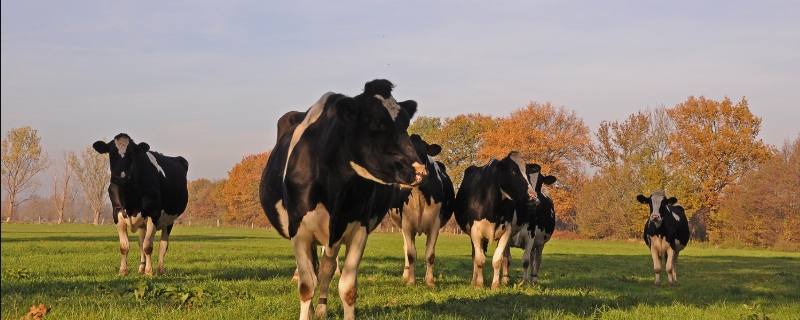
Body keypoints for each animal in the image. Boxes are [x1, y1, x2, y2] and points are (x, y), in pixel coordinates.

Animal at [92, 134, 189, 276]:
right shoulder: (117, 214)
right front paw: (123, 271)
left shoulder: (153, 214)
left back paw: (160, 270)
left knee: (162, 246)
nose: (120, 177)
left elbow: (148, 246)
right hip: (143, 223)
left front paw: (149, 271)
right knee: (141, 242)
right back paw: (141, 268)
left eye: (131, 154)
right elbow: (125, 246)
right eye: (111, 153)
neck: (129, 200)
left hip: (169, 220)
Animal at [260, 78, 428, 320]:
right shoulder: (299, 230)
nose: (420, 172)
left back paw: (321, 308)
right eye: (378, 122)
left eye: (405, 123)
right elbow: (306, 286)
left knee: (326, 269)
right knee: (313, 270)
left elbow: (347, 288)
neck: (335, 188)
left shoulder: (359, 228)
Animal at [390, 134, 456, 286]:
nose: (417, 174)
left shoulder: (435, 225)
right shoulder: (407, 225)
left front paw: (430, 281)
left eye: (424, 153)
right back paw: (405, 275)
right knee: (406, 249)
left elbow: (430, 255)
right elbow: (411, 254)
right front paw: (410, 281)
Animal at [454, 151, 536, 288]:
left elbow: (498, 259)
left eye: (528, 173)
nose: (533, 196)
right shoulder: (475, 231)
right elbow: (479, 259)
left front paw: (496, 285)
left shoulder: (506, 230)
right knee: (475, 256)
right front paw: (479, 284)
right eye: (512, 171)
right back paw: (474, 280)